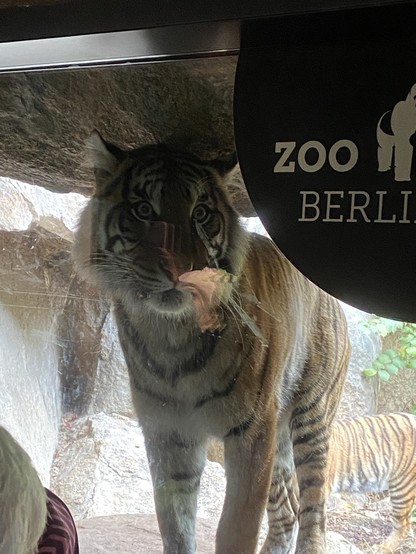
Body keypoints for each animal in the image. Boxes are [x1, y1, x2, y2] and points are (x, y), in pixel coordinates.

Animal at [73, 130, 350, 552]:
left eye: (201, 214)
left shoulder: (252, 430)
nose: (181, 269)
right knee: (287, 509)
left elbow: (236, 526)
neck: (171, 333)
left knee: (314, 510)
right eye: (143, 209)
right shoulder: (168, 431)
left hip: (310, 418)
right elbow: (174, 521)